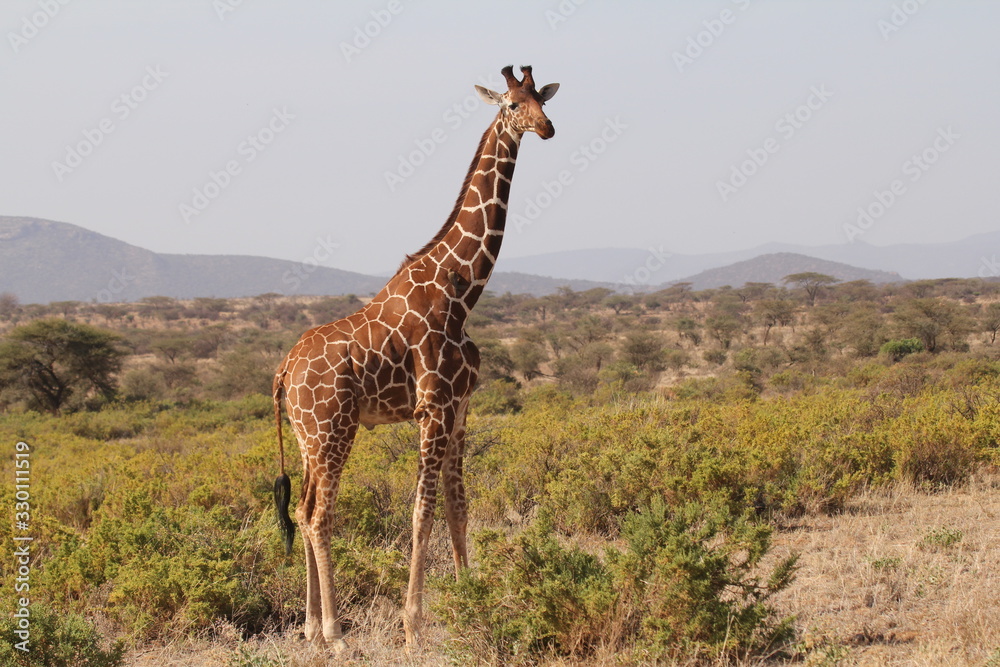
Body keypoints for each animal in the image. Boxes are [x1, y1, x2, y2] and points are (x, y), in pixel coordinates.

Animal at [272, 65, 558, 649]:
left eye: (541, 99)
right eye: (511, 105)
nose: (547, 129)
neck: (463, 289)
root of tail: (284, 371)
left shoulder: (462, 408)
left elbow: (458, 505)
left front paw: (473, 599)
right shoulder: (433, 409)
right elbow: (421, 512)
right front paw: (414, 626)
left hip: (307, 436)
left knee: (303, 509)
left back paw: (310, 626)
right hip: (334, 430)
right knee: (320, 516)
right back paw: (335, 631)